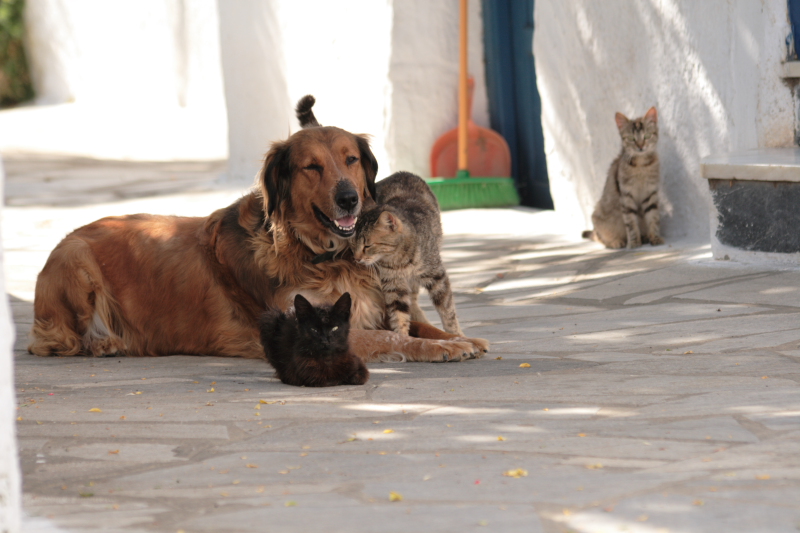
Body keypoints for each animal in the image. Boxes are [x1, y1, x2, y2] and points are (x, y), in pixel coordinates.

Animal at [354, 171, 466, 336]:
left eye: (367, 245)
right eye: (353, 244)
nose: (356, 258)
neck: (397, 259)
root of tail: (401, 173)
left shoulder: (437, 278)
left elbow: (447, 311)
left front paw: (456, 335)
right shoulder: (394, 285)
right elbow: (398, 314)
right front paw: (401, 337)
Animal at [580, 108, 664, 251]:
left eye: (647, 136)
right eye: (631, 138)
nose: (640, 146)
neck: (641, 166)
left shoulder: (650, 193)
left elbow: (653, 218)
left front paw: (655, 237)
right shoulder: (626, 197)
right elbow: (631, 223)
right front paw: (634, 242)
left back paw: (645, 237)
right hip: (598, 217)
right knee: (601, 239)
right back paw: (616, 242)